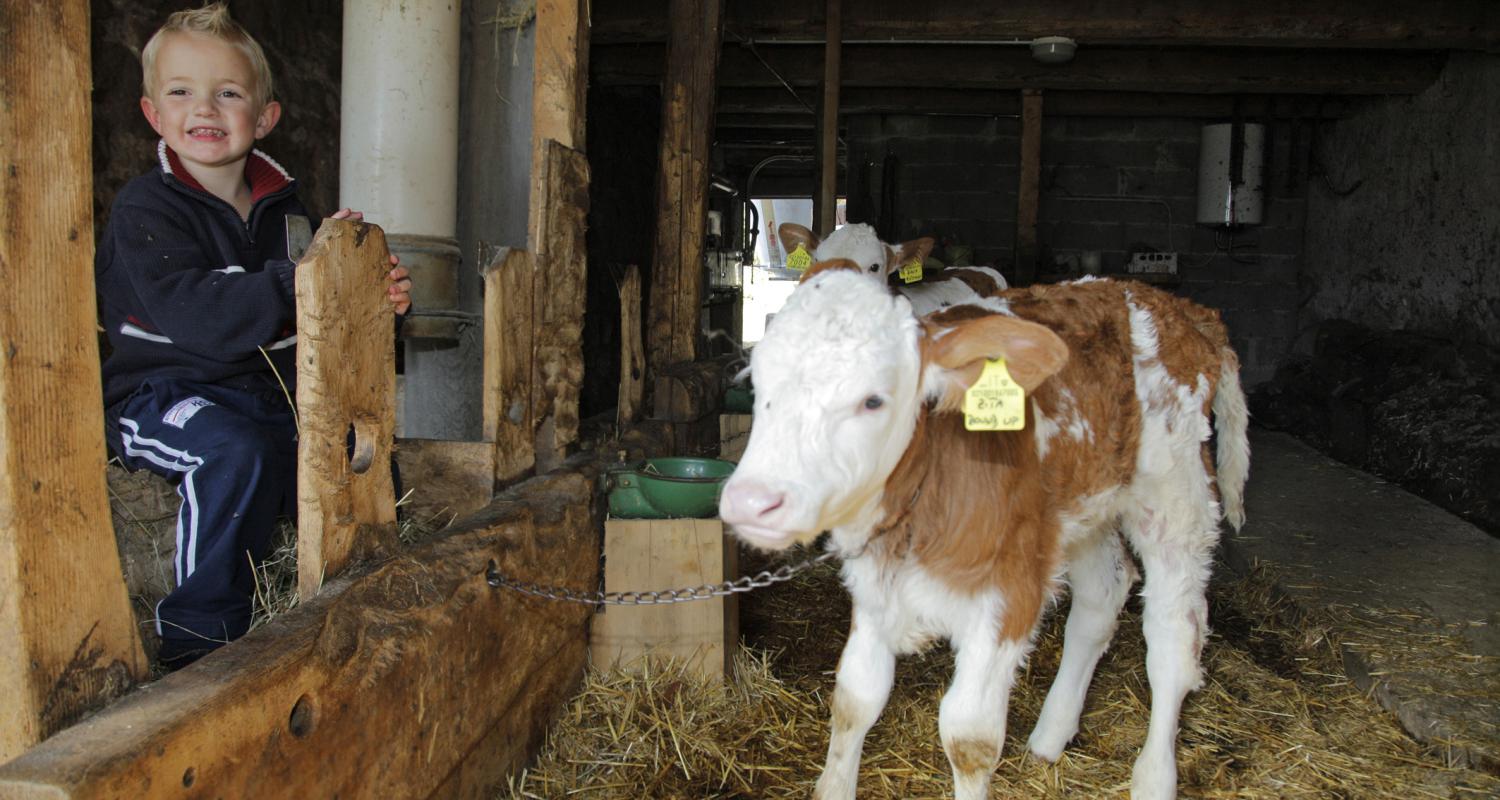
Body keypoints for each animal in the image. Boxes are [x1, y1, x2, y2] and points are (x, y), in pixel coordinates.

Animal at [720, 262, 1248, 798]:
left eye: (873, 401)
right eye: (759, 383)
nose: (751, 501)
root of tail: (1184, 310)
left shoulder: (1010, 592)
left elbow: (968, 737)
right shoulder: (875, 585)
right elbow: (855, 697)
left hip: (1176, 498)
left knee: (1172, 640)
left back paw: (1154, 777)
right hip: (1079, 509)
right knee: (1104, 594)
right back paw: (1050, 735)